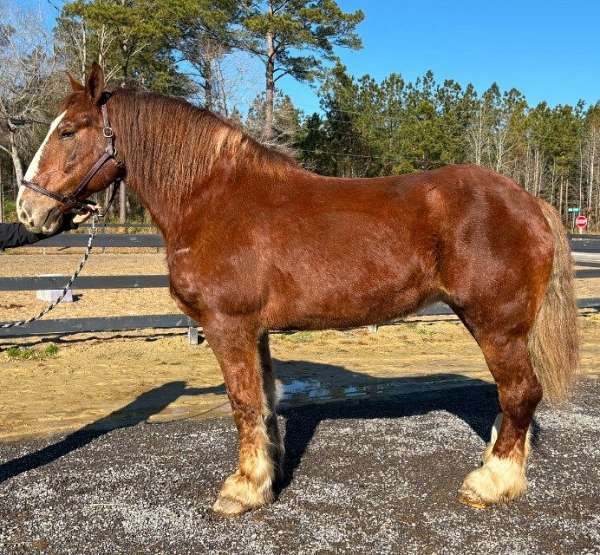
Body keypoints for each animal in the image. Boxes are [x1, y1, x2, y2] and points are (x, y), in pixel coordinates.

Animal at [16, 65, 576, 516]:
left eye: (68, 130)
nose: (27, 208)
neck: (211, 197)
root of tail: (530, 202)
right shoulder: (255, 331)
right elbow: (264, 401)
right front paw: (268, 476)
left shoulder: (228, 325)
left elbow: (242, 403)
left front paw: (241, 491)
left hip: (496, 325)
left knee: (520, 393)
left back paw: (491, 482)